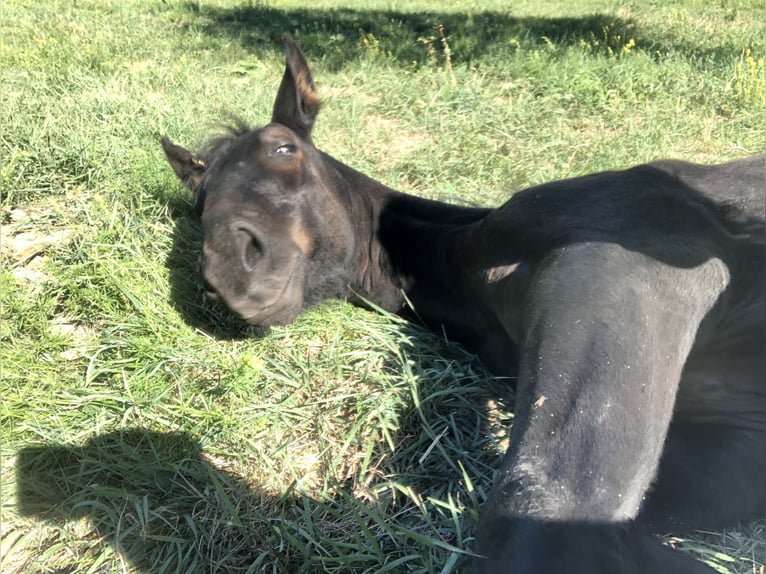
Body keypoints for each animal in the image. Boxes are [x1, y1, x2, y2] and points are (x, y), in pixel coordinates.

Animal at [162, 35, 765, 573]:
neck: (466, 256)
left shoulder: (627, 266)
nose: (227, 270)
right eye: (201, 200)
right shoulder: (737, 445)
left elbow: (546, 505)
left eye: (284, 149)